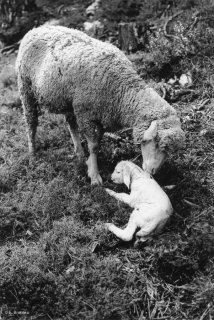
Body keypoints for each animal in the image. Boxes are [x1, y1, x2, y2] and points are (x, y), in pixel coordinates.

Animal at [15, 25, 185, 185]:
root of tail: (36, 29)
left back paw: (79, 153)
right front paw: (95, 176)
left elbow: (97, 142)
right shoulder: (86, 115)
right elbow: (94, 146)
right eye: (154, 143)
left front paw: (89, 164)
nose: (154, 172)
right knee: (31, 124)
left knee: (70, 123)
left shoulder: (103, 115)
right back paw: (33, 155)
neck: (122, 89)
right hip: (26, 89)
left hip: (68, 100)